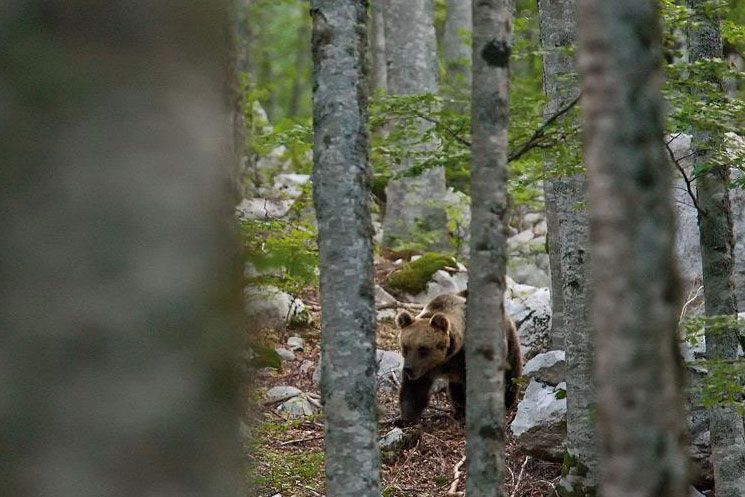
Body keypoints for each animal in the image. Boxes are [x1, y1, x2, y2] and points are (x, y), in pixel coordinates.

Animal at [396, 290, 524, 422]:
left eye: (423, 349)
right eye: (405, 346)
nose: (408, 369)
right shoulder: (426, 369)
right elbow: (414, 389)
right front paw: (405, 417)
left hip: (507, 343)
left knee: (511, 374)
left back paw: (507, 403)